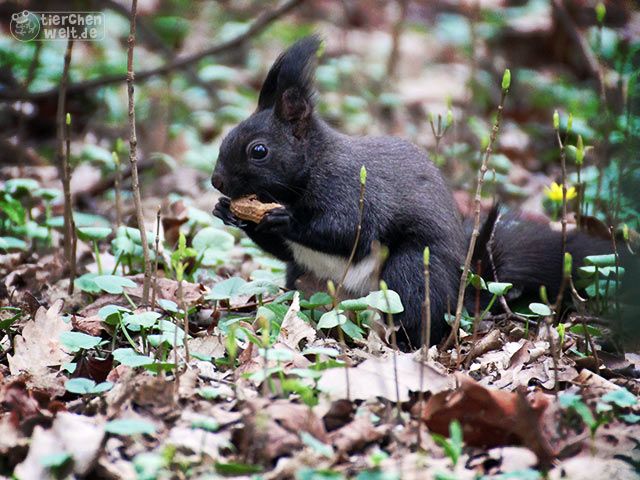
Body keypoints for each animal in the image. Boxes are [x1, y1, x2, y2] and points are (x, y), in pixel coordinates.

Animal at [211, 34, 608, 348]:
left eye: (258, 151)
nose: (217, 181)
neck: (310, 169)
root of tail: (462, 290)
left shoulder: (352, 189)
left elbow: (349, 230)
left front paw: (283, 220)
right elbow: (282, 249)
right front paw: (228, 212)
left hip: (413, 270)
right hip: (306, 280)